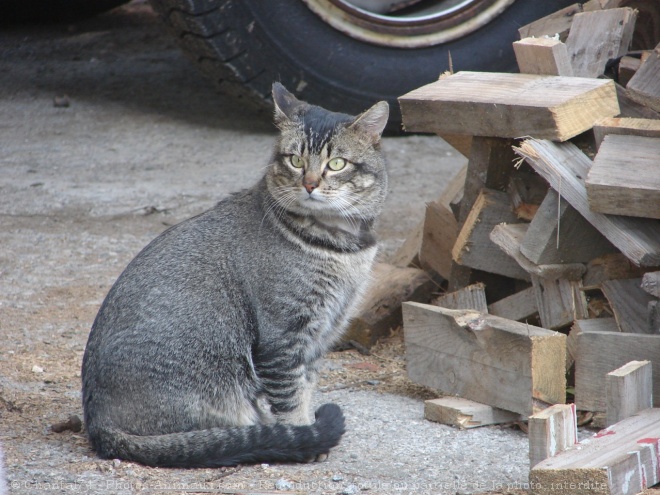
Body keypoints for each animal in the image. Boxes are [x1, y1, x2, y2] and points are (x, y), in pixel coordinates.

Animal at [82, 82, 392, 468]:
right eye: (295, 160)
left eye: (336, 164)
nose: (309, 184)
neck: (341, 248)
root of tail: (97, 423)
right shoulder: (283, 338)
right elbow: (291, 399)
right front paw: (305, 436)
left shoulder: (322, 333)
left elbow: (306, 387)